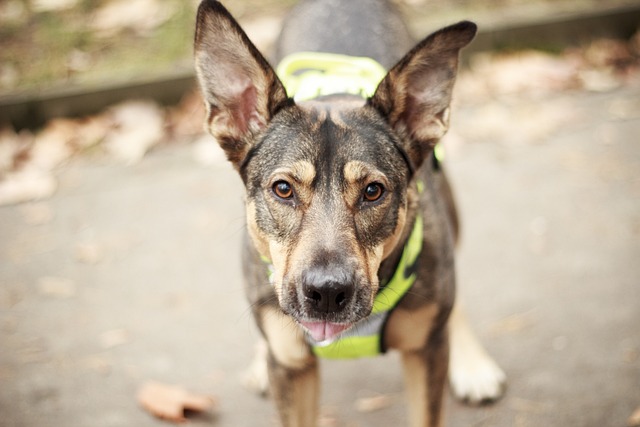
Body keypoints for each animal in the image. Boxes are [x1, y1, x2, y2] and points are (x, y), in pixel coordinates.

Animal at [194, 1, 504, 426]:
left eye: (373, 192)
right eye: (283, 189)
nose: (326, 293)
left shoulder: (426, 354)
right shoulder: (293, 371)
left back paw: (472, 363)